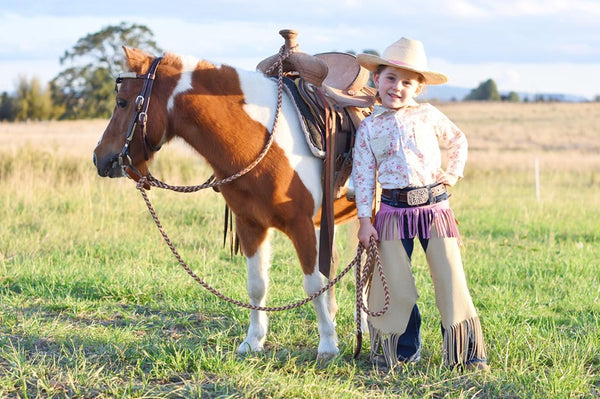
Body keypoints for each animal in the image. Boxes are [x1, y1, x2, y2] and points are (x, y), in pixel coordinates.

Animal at [92, 47, 356, 360]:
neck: (263, 140)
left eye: (122, 102)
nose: (99, 158)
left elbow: (313, 283)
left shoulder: (300, 224)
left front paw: (327, 344)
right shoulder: (250, 224)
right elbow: (257, 286)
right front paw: (253, 341)